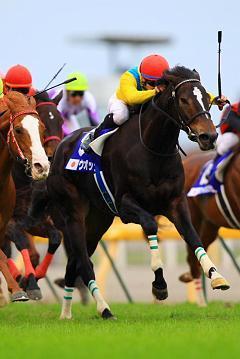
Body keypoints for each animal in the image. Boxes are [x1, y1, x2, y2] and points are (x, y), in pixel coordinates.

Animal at [29, 66, 230, 320]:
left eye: (206, 98)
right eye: (183, 100)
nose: (209, 136)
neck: (153, 149)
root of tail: (57, 152)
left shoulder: (176, 202)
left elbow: (193, 236)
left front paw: (216, 276)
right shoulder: (125, 205)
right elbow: (151, 225)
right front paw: (159, 285)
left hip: (98, 220)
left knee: (74, 263)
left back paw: (66, 313)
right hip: (73, 213)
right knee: (84, 262)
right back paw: (104, 308)